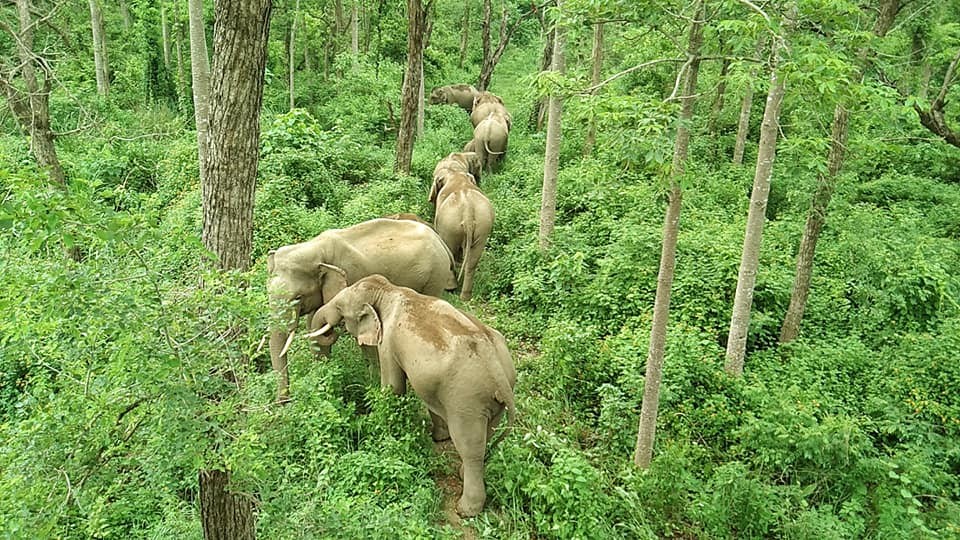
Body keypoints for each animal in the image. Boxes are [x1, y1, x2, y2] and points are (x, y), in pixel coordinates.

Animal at [264, 218, 456, 400]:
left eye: (297, 297)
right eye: (267, 292)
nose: (283, 402)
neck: (315, 247)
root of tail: (439, 239)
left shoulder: (353, 278)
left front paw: (371, 384)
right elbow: (315, 327)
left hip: (435, 275)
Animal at [308, 276, 516, 516]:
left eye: (341, 309)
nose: (332, 331)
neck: (388, 290)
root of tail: (498, 372)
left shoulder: (387, 343)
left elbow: (393, 387)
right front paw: (438, 437)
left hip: (467, 400)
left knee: (470, 446)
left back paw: (465, 510)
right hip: (491, 402)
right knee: (488, 434)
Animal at [434, 171, 496, 302]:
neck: (457, 176)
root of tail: (468, 210)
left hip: (449, 225)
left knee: (450, 249)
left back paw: (450, 288)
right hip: (483, 226)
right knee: (473, 260)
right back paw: (465, 297)